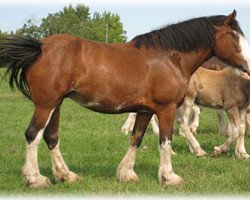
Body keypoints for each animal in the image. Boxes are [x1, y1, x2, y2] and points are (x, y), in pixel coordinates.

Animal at [0, 10, 250, 188]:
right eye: (234, 35)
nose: (248, 65)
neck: (168, 57)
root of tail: (39, 47)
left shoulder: (146, 110)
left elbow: (136, 138)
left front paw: (127, 173)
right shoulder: (166, 109)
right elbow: (165, 142)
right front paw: (168, 177)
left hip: (56, 104)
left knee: (51, 137)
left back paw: (66, 175)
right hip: (46, 104)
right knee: (33, 135)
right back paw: (35, 178)